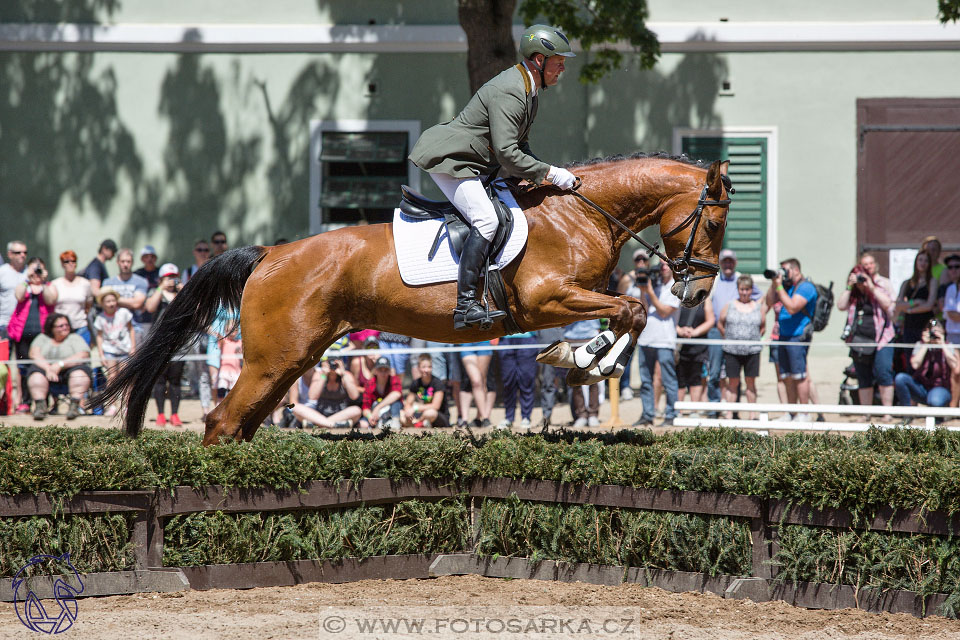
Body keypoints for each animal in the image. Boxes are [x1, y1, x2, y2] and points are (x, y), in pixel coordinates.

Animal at [94, 154, 732, 444]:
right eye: (717, 222)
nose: (699, 291)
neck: (582, 214)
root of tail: (270, 254)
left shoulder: (573, 299)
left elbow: (632, 313)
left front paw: (584, 360)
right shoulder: (548, 300)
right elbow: (632, 310)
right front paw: (584, 362)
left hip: (291, 359)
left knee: (240, 422)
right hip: (275, 358)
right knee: (223, 419)